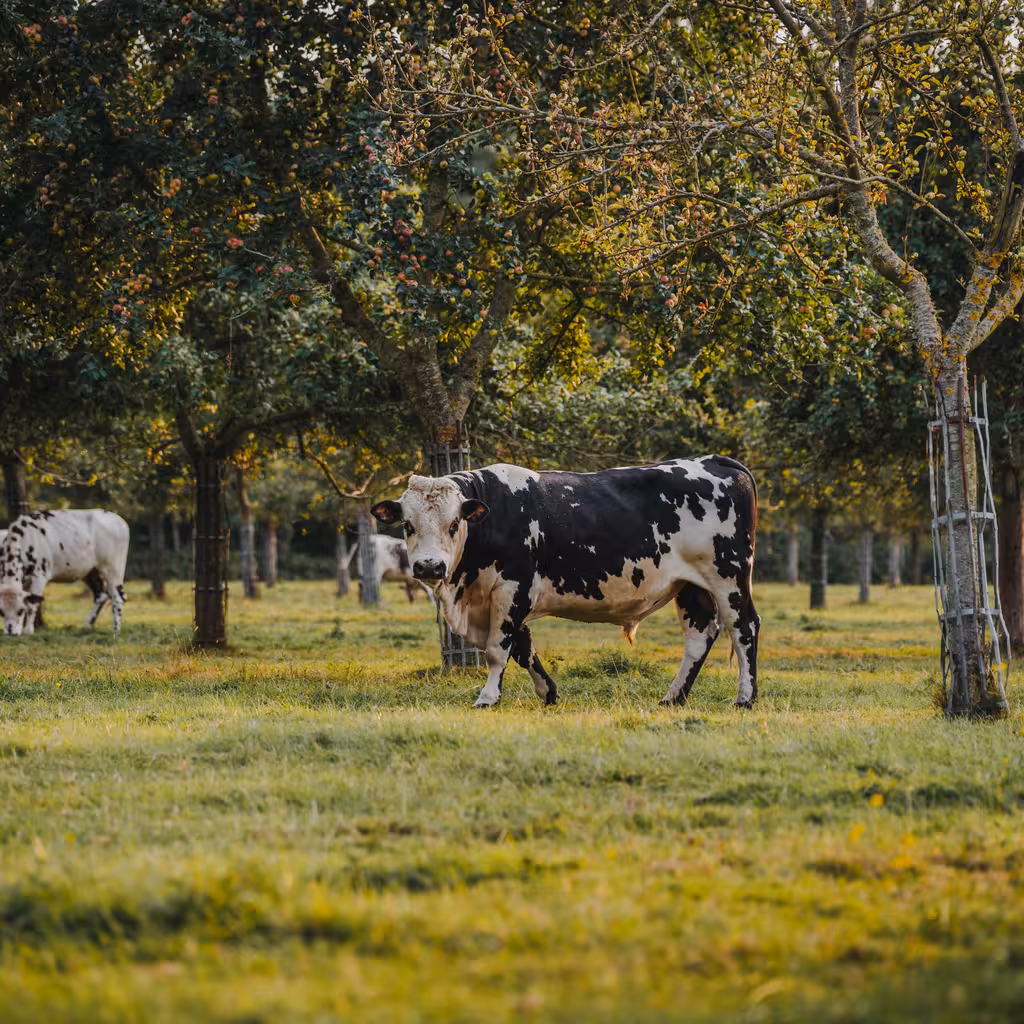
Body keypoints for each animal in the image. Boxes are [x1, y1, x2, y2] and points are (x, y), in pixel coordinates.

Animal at [0, 509, 130, 636]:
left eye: (20, 610)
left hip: (113, 567)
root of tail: (118, 520)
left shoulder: (40, 576)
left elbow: (32, 604)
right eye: (1, 611)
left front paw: (28, 631)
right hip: (91, 571)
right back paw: (87, 625)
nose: (11, 632)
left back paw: (115, 632)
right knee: (101, 594)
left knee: (118, 597)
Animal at [371, 457, 760, 709]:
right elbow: (523, 648)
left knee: (744, 628)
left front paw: (488, 697)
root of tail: (716, 461)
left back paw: (744, 697)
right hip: (690, 585)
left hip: (728, 576)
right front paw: (548, 693)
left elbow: (499, 649)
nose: (429, 566)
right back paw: (673, 697)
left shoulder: (513, 588)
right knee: (700, 634)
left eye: (453, 524)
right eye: (407, 524)